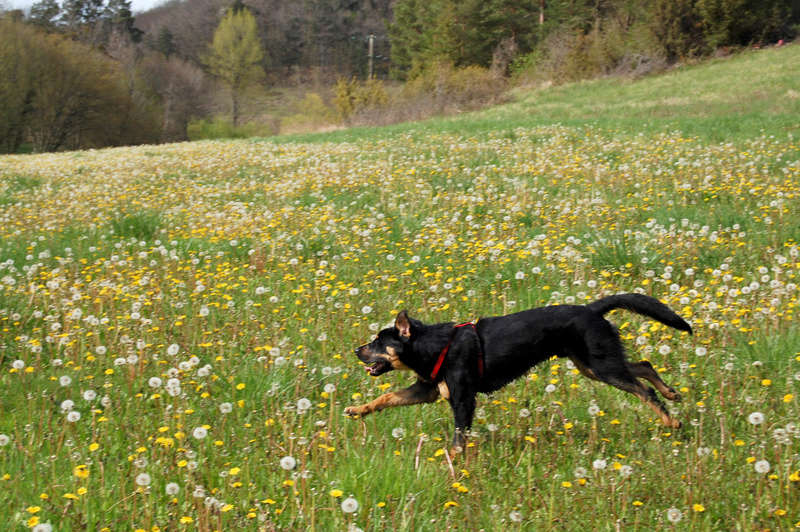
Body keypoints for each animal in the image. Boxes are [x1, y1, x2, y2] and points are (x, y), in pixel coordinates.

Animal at [346, 294, 692, 456]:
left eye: (378, 342)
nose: (356, 349)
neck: (433, 345)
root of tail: (592, 308)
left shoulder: (463, 399)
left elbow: (459, 437)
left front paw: (453, 463)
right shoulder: (428, 390)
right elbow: (386, 397)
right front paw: (357, 409)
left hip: (601, 365)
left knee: (643, 390)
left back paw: (671, 420)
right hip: (593, 364)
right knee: (644, 364)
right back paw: (672, 393)